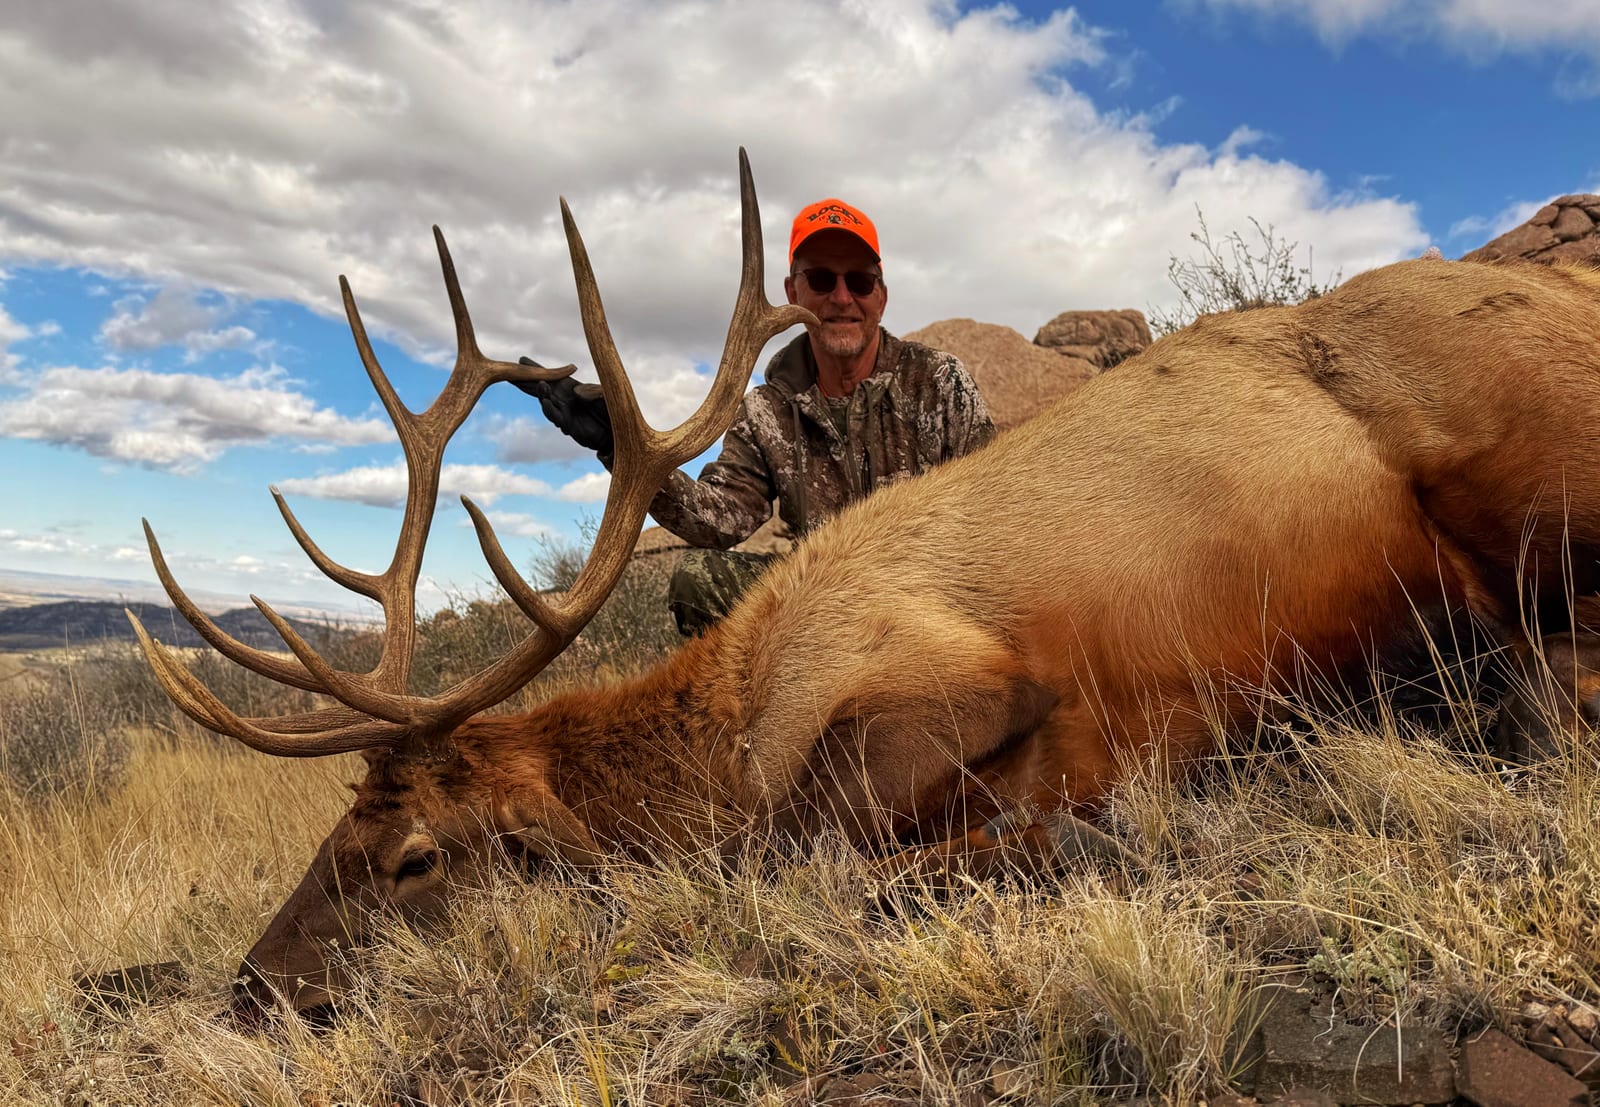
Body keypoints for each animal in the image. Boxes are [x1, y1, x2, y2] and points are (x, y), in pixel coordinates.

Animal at [128, 152, 1600, 1017]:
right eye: (332, 833)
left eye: (412, 858)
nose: (249, 988)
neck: (731, 729)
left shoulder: (965, 679)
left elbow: (808, 859)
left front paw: (1077, 830)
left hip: (1527, 476)